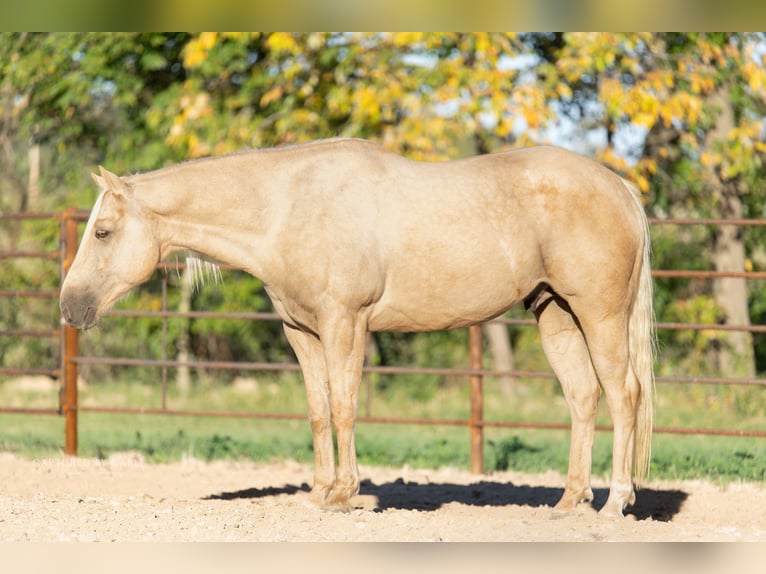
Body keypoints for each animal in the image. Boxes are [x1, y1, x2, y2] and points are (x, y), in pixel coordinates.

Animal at [60, 137, 656, 520]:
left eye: (103, 231)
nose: (70, 307)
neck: (287, 206)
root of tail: (620, 187)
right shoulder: (301, 333)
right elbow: (319, 410)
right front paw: (320, 492)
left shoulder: (344, 323)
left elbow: (345, 406)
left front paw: (345, 494)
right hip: (556, 315)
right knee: (582, 399)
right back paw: (569, 501)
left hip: (600, 315)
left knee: (624, 395)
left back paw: (614, 502)